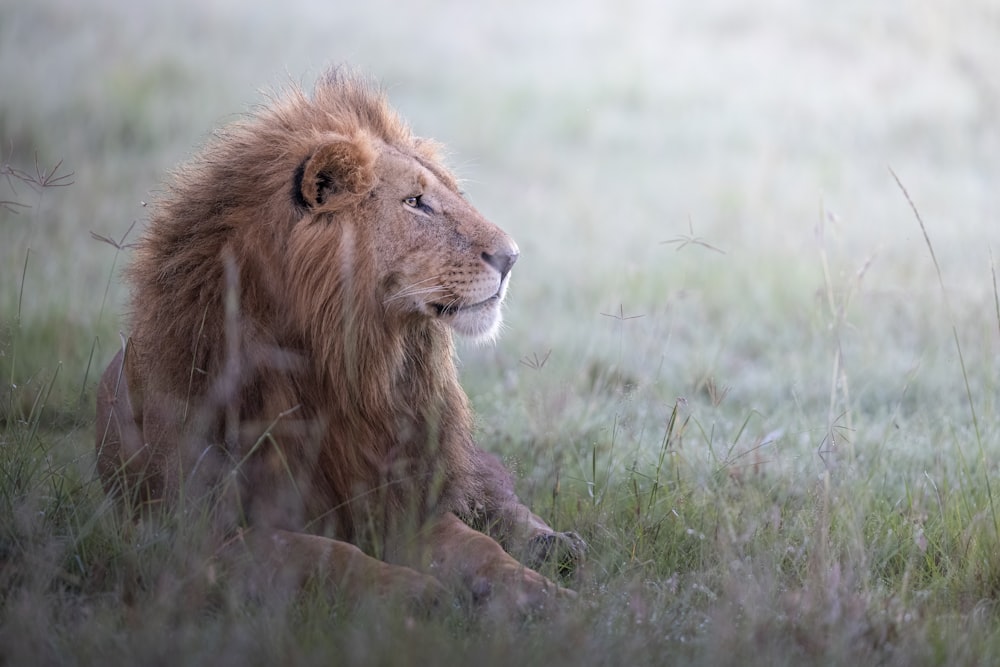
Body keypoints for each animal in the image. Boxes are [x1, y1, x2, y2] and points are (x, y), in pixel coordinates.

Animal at [94, 69, 584, 616]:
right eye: (415, 202)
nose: (512, 257)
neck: (349, 368)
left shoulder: (402, 499)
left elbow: (481, 548)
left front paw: (548, 597)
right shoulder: (203, 535)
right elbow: (326, 553)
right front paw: (417, 594)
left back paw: (556, 545)